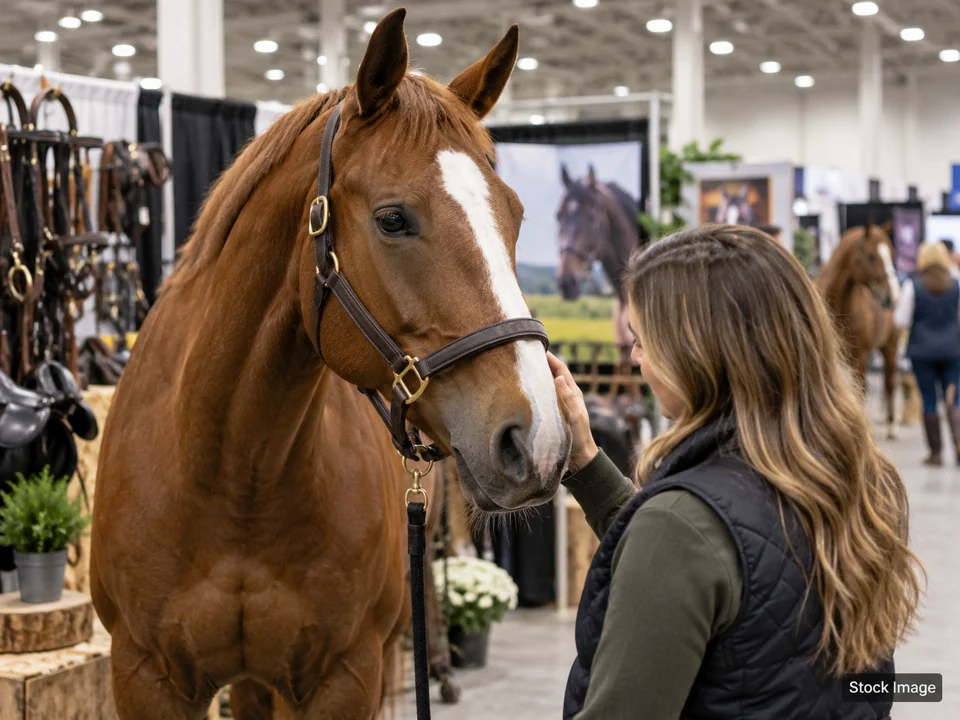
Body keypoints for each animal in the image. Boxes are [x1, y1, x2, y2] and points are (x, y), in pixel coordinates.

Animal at [89, 11, 570, 720]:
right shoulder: (144, 675)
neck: (233, 474)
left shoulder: (344, 677)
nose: (537, 438)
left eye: (515, 216)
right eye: (393, 219)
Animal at [815, 224, 901, 439]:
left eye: (891, 254)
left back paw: (891, 425)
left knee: (889, 383)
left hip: (890, 347)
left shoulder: (860, 357)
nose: (890, 296)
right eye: (871, 256)